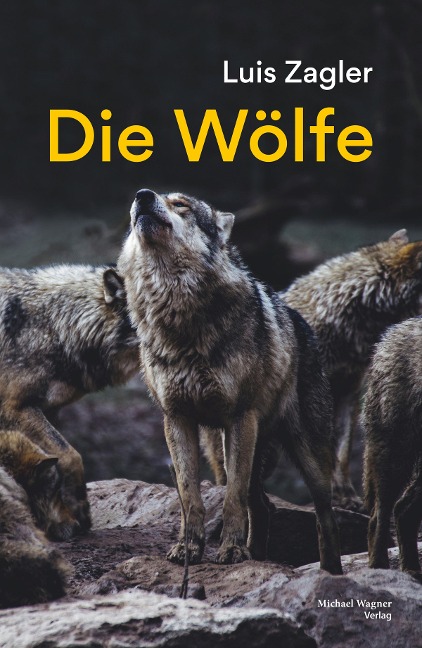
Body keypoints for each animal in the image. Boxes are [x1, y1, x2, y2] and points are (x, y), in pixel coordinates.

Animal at [0, 264, 139, 536]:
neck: (57, 326)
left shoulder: (49, 410)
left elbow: (51, 463)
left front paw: (62, 519)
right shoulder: (15, 407)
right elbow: (71, 455)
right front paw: (79, 511)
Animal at [118, 188, 342, 574]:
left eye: (181, 205)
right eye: (141, 201)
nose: (142, 196)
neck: (178, 314)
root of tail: (302, 322)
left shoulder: (239, 417)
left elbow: (232, 499)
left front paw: (232, 551)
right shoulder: (176, 419)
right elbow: (189, 495)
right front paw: (189, 549)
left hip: (306, 455)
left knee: (324, 517)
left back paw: (331, 572)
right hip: (225, 448)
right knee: (263, 506)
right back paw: (258, 556)